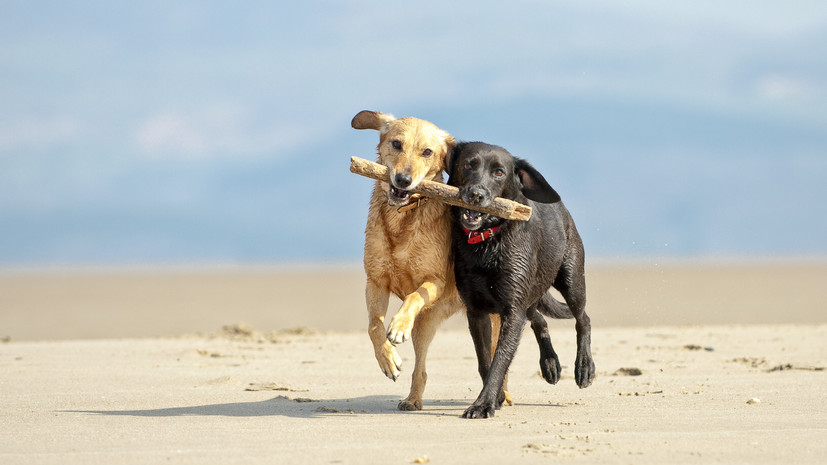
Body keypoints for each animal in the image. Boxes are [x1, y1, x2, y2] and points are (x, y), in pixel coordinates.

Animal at [352, 109, 508, 410]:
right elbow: (374, 325)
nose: (403, 180)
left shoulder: (433, 281)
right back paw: (413, 399)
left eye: (427, 152)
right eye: (396, 144)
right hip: (426, 323)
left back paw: (502, 395)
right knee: (421, 369)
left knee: (499, 356)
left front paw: (398, 326)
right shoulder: (375, 281)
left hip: (491, 317)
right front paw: (388, 360)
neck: (402, 218)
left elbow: (413, 296)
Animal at [446, 140, 596, 416]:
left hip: (571, 279)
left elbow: (500, 360)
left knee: (583, 318)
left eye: (499, 172)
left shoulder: (513, 310)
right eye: (468, 164)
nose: (476, 195)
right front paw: (493, 399)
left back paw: (584, 367)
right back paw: (550, 363)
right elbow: (485, 360)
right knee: (539, 319)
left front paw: (483, 404)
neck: (487, 243)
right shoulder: (477, 312)